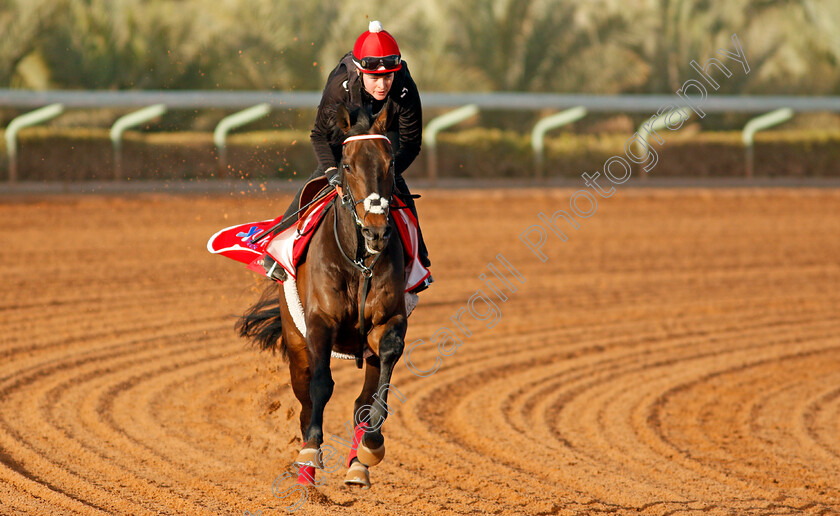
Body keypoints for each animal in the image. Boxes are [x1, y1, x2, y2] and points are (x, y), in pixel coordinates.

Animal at [236, 100, 406, 488]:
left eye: (390, 163)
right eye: (347, 165)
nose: (377, 231)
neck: (359, 263)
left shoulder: (389, 320)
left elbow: (383, 373)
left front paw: (371, 447)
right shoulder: (319, 323)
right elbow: (321, 386)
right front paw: (310, 455)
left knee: (361, 399)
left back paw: (357, 465)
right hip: (295, 341)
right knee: (304, 398)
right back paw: (305, 469)